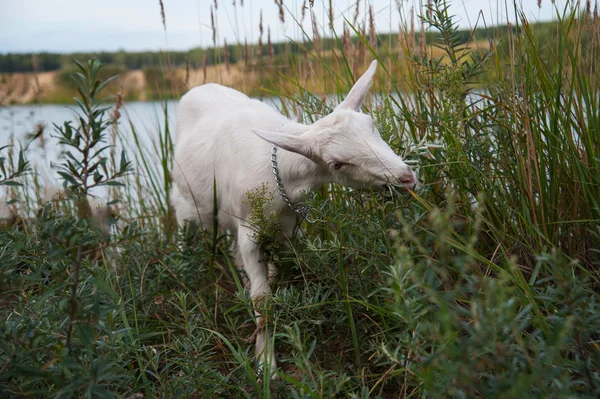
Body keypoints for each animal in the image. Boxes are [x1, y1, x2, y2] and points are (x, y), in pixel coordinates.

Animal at [170, 61, 418, 376]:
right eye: (337, 163)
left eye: (372, 125)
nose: (406, 178)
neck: (282, 171)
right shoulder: (250, 232)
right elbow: (262, 301)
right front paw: (267, 365)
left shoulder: (289, 228)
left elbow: (286, 273)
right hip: (188, 202)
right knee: (183, 228)